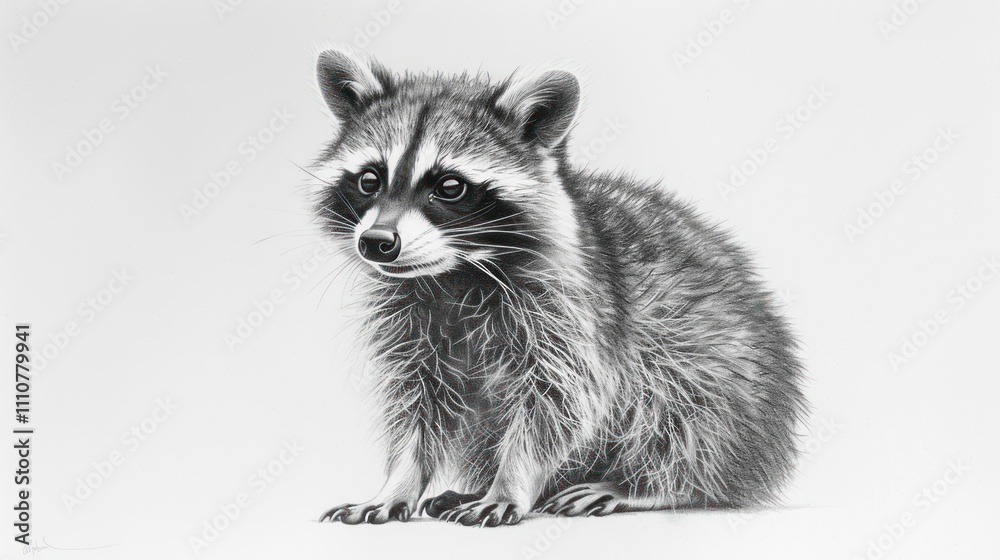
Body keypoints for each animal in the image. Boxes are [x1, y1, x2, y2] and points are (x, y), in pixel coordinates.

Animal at [311, 47, 806, 527]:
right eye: (369, 180)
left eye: (450, 186)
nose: (376, 242)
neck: (456, 274)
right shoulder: (410, 322)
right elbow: (418, 404)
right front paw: (399, 483)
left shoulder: (573, 311)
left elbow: (559, 403)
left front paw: (510, 483)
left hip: (717, 372)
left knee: (682, 417)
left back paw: (645, 486)